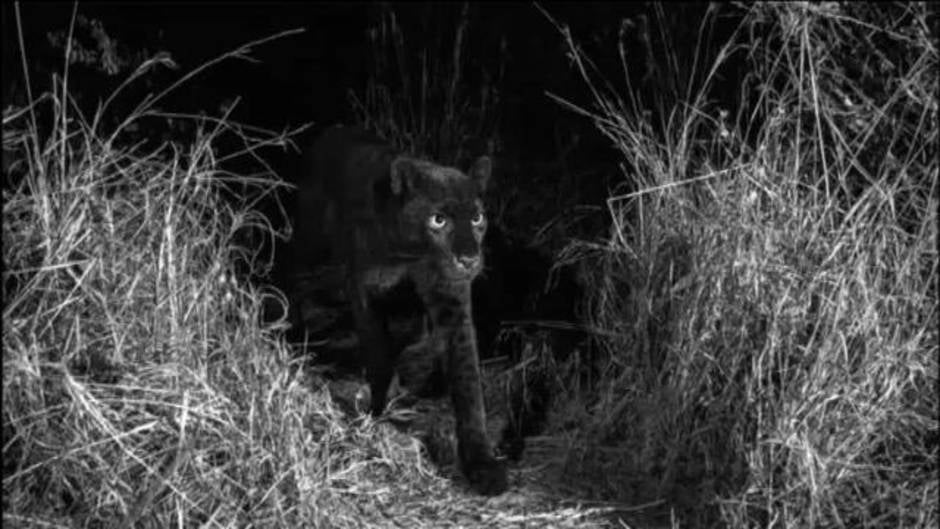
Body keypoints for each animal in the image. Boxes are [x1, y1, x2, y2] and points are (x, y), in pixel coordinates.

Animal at [294, 125, 507, 496]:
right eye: (438, 220)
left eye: (477, 218)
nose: (469, 259)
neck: (410, 254)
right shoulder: (364, 290)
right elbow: (378, 351)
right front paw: (380, 413)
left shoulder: (451, 298)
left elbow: (467, 379)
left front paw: (481, 464)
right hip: (309, 243)